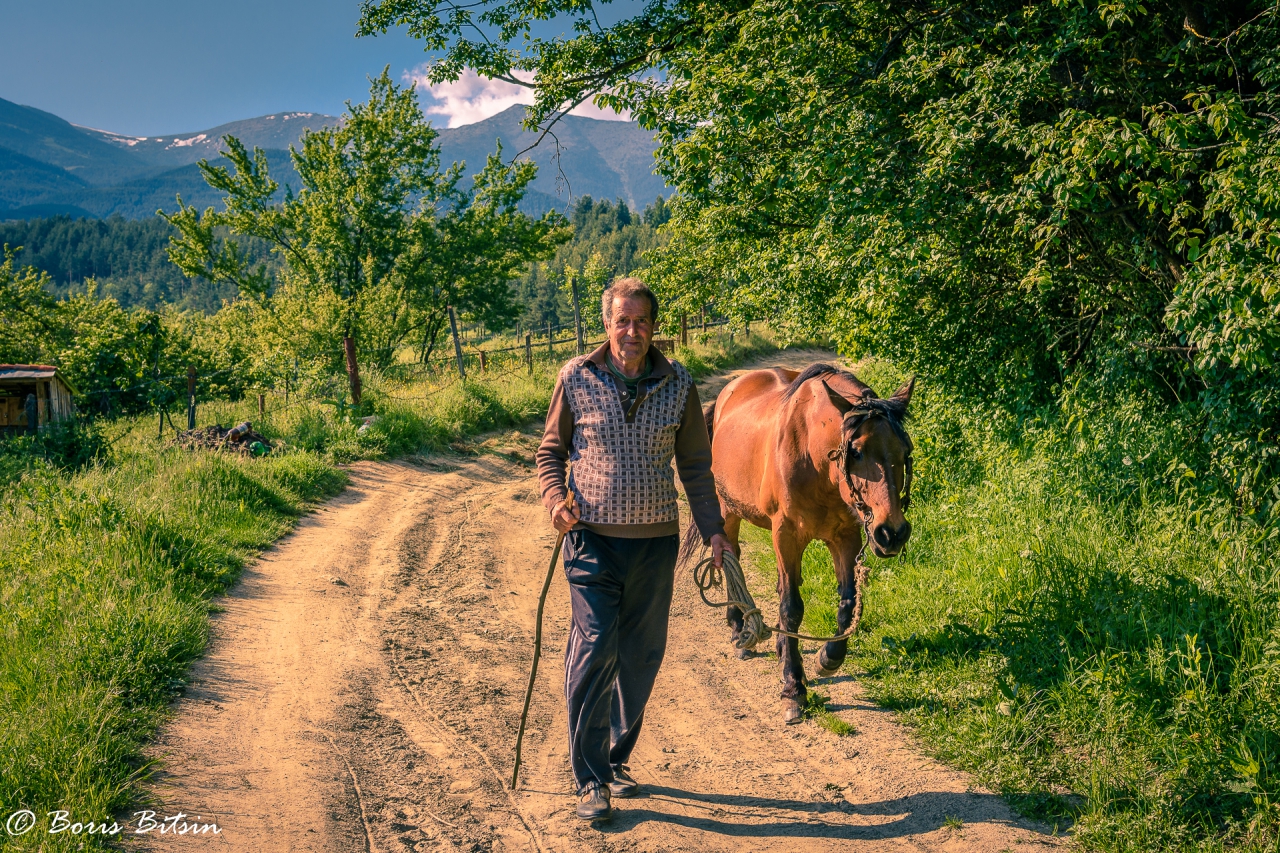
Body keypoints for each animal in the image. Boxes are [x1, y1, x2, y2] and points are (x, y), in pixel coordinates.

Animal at [686, 361, 916, 722]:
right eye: (857, 452)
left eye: (905, 451)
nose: (891, 533)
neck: (814, 455)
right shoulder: (787, 535)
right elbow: (791, 607)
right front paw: (793, 688)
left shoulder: (846, 536)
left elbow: (847, 604)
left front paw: (827, 658)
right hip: (728, 510)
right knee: (730, 557)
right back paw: (739, 628)